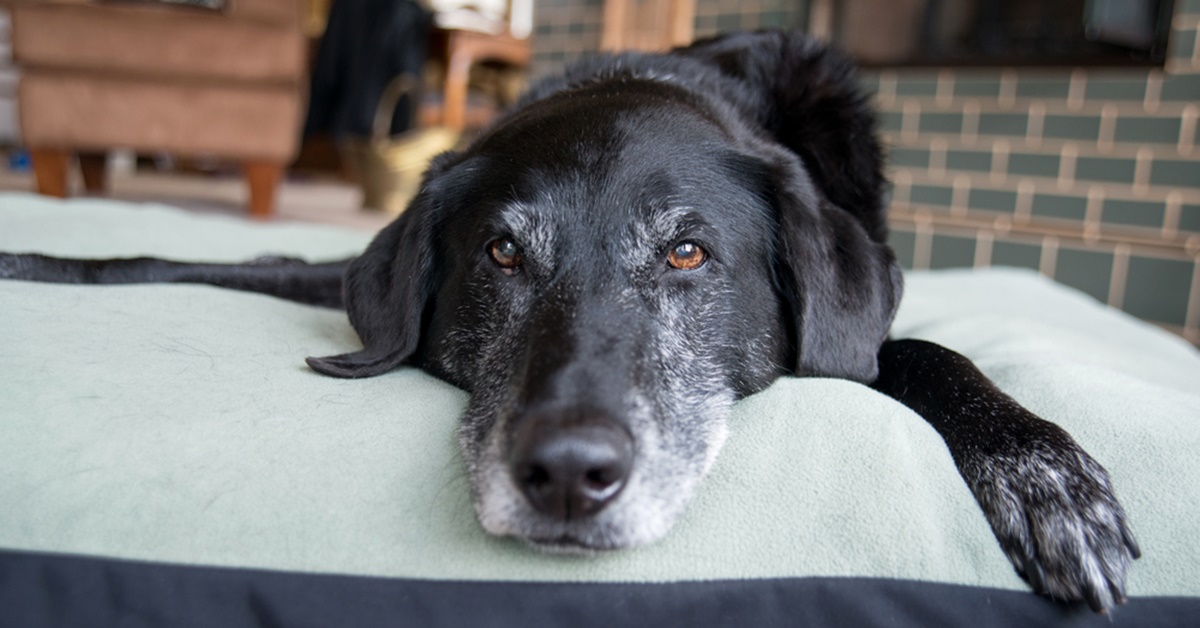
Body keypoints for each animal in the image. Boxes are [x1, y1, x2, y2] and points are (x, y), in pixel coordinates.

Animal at [2, 30, 1142, 614]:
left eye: (687, 254)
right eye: (502, 254)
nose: (566, 477)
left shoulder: (867, 333)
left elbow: (923, 351)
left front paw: (1044, 474)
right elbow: (177, 257)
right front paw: (36, 259)